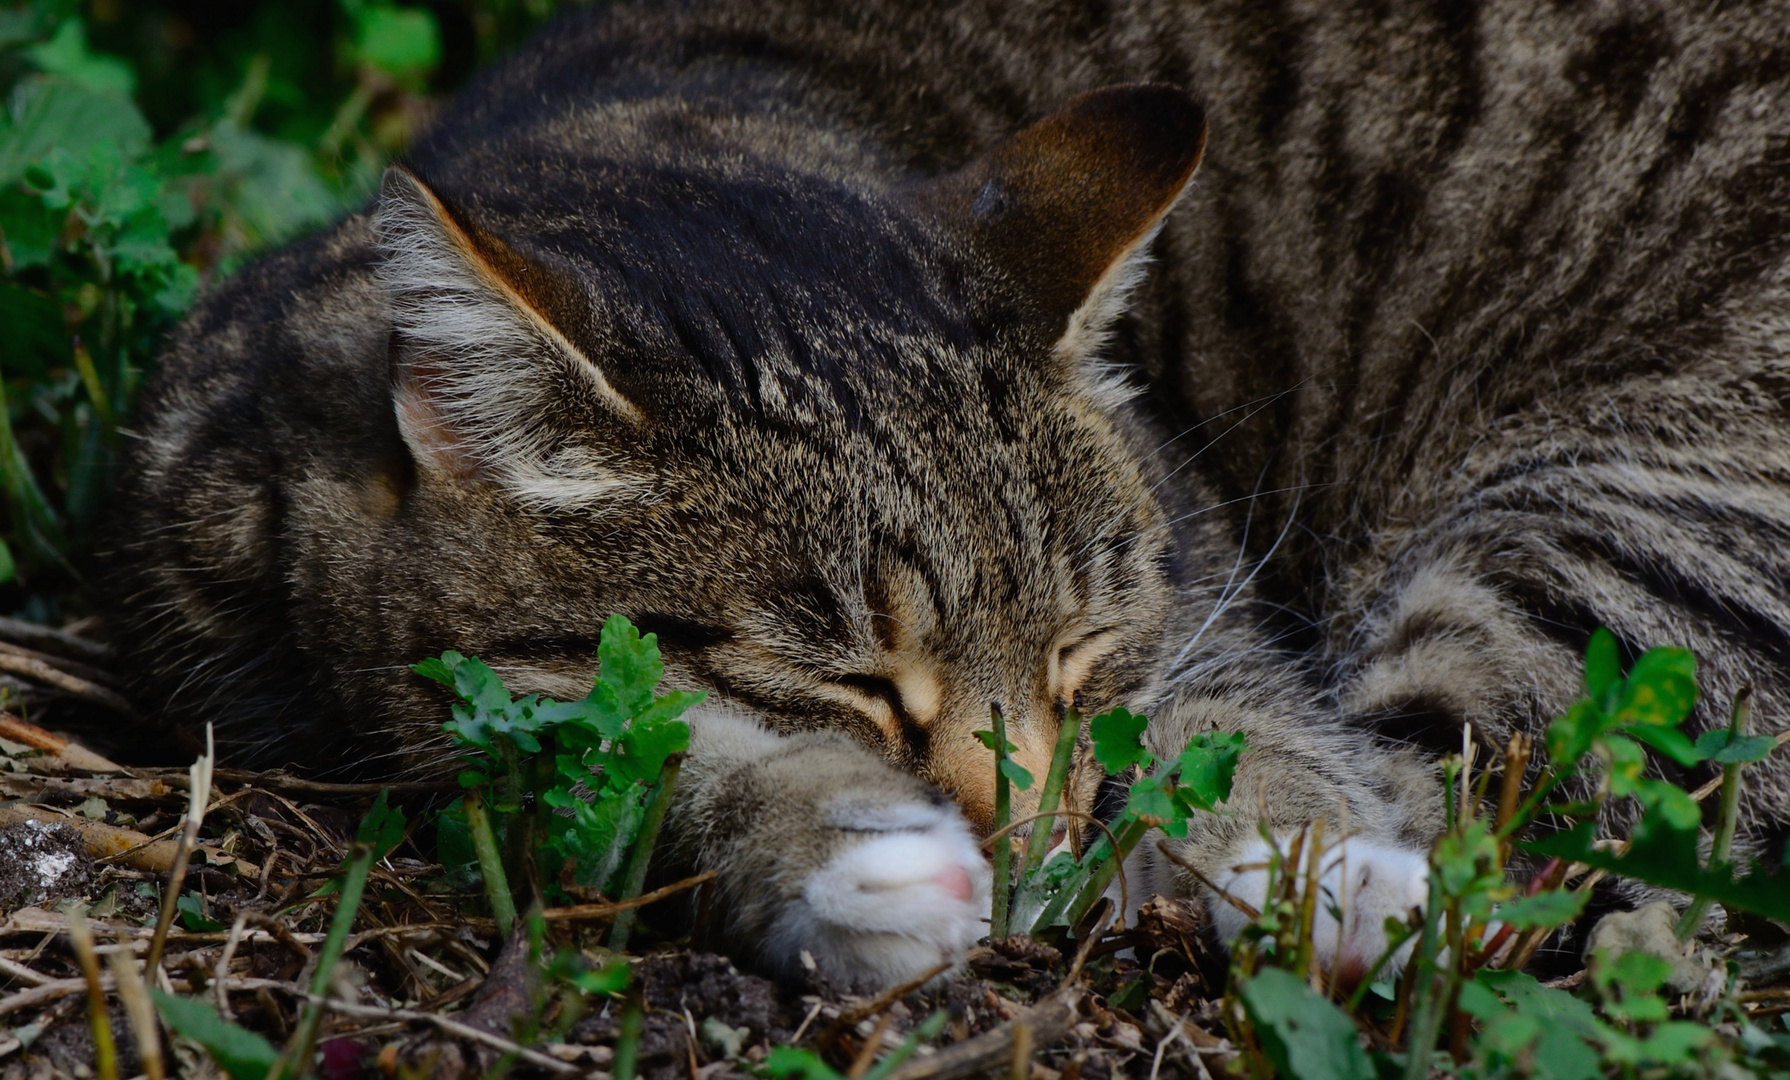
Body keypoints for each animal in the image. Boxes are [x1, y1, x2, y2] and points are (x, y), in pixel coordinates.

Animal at [115, 0, 1790, 988]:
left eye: (1076, 649)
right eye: (847, 682)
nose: (1024, 823)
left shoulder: (1203, 604)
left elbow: (1237, 729)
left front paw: (1307, 865)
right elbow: (635, 744)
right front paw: (841, 854)